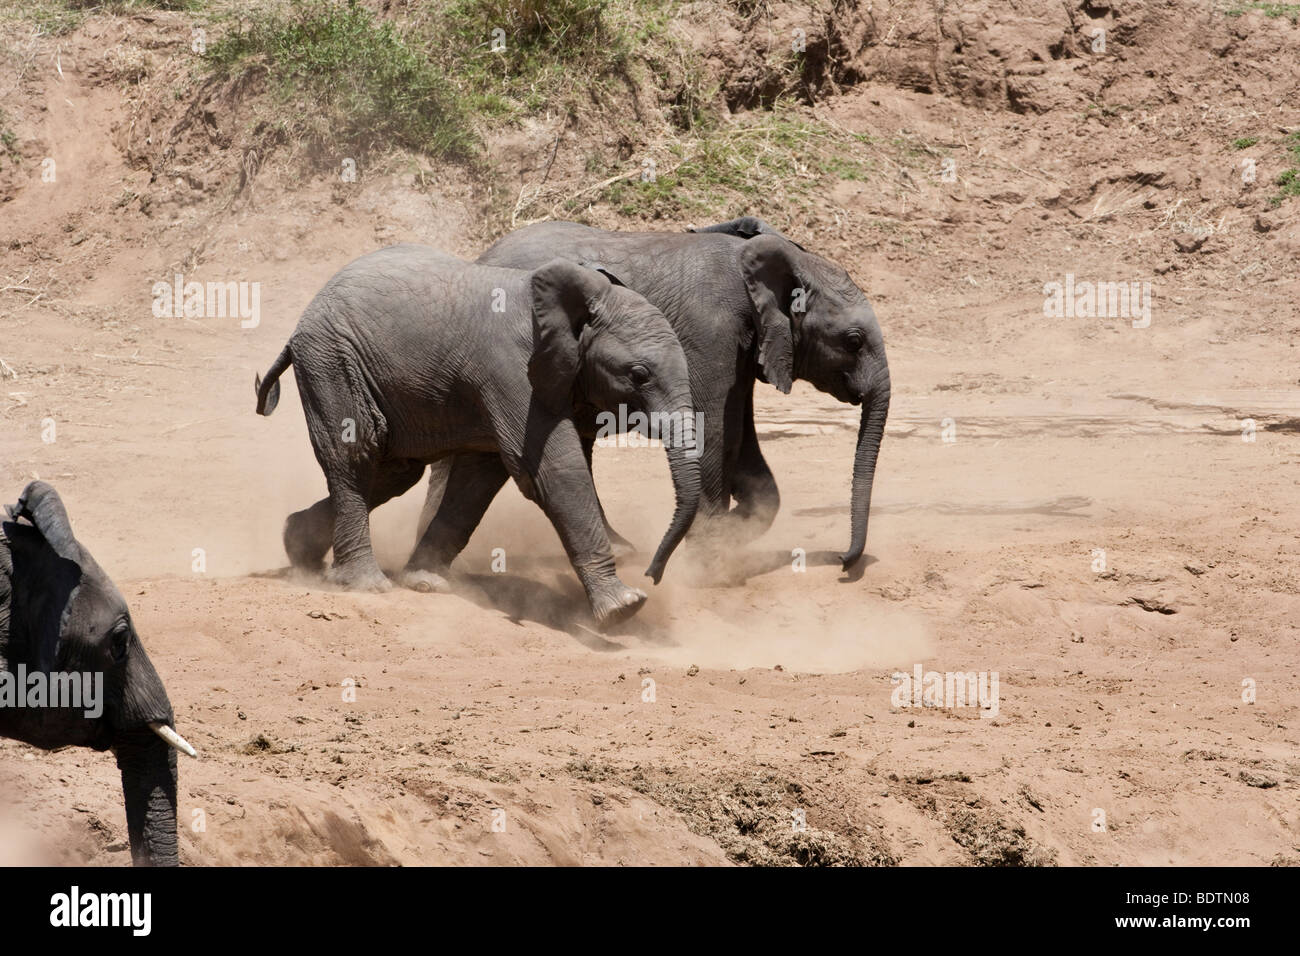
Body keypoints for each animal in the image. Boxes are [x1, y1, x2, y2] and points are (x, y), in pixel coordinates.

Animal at [253, 244, 702, 629]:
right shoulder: (512, 370)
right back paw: (365, 584)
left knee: (396, 472)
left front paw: (424, 582)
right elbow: (551, 469)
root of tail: (301, 322)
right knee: (356, 455)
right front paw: (624, 608)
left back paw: (299, 548)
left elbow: (479, 479)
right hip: (330, 361)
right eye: (639, 374)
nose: (652, 573)